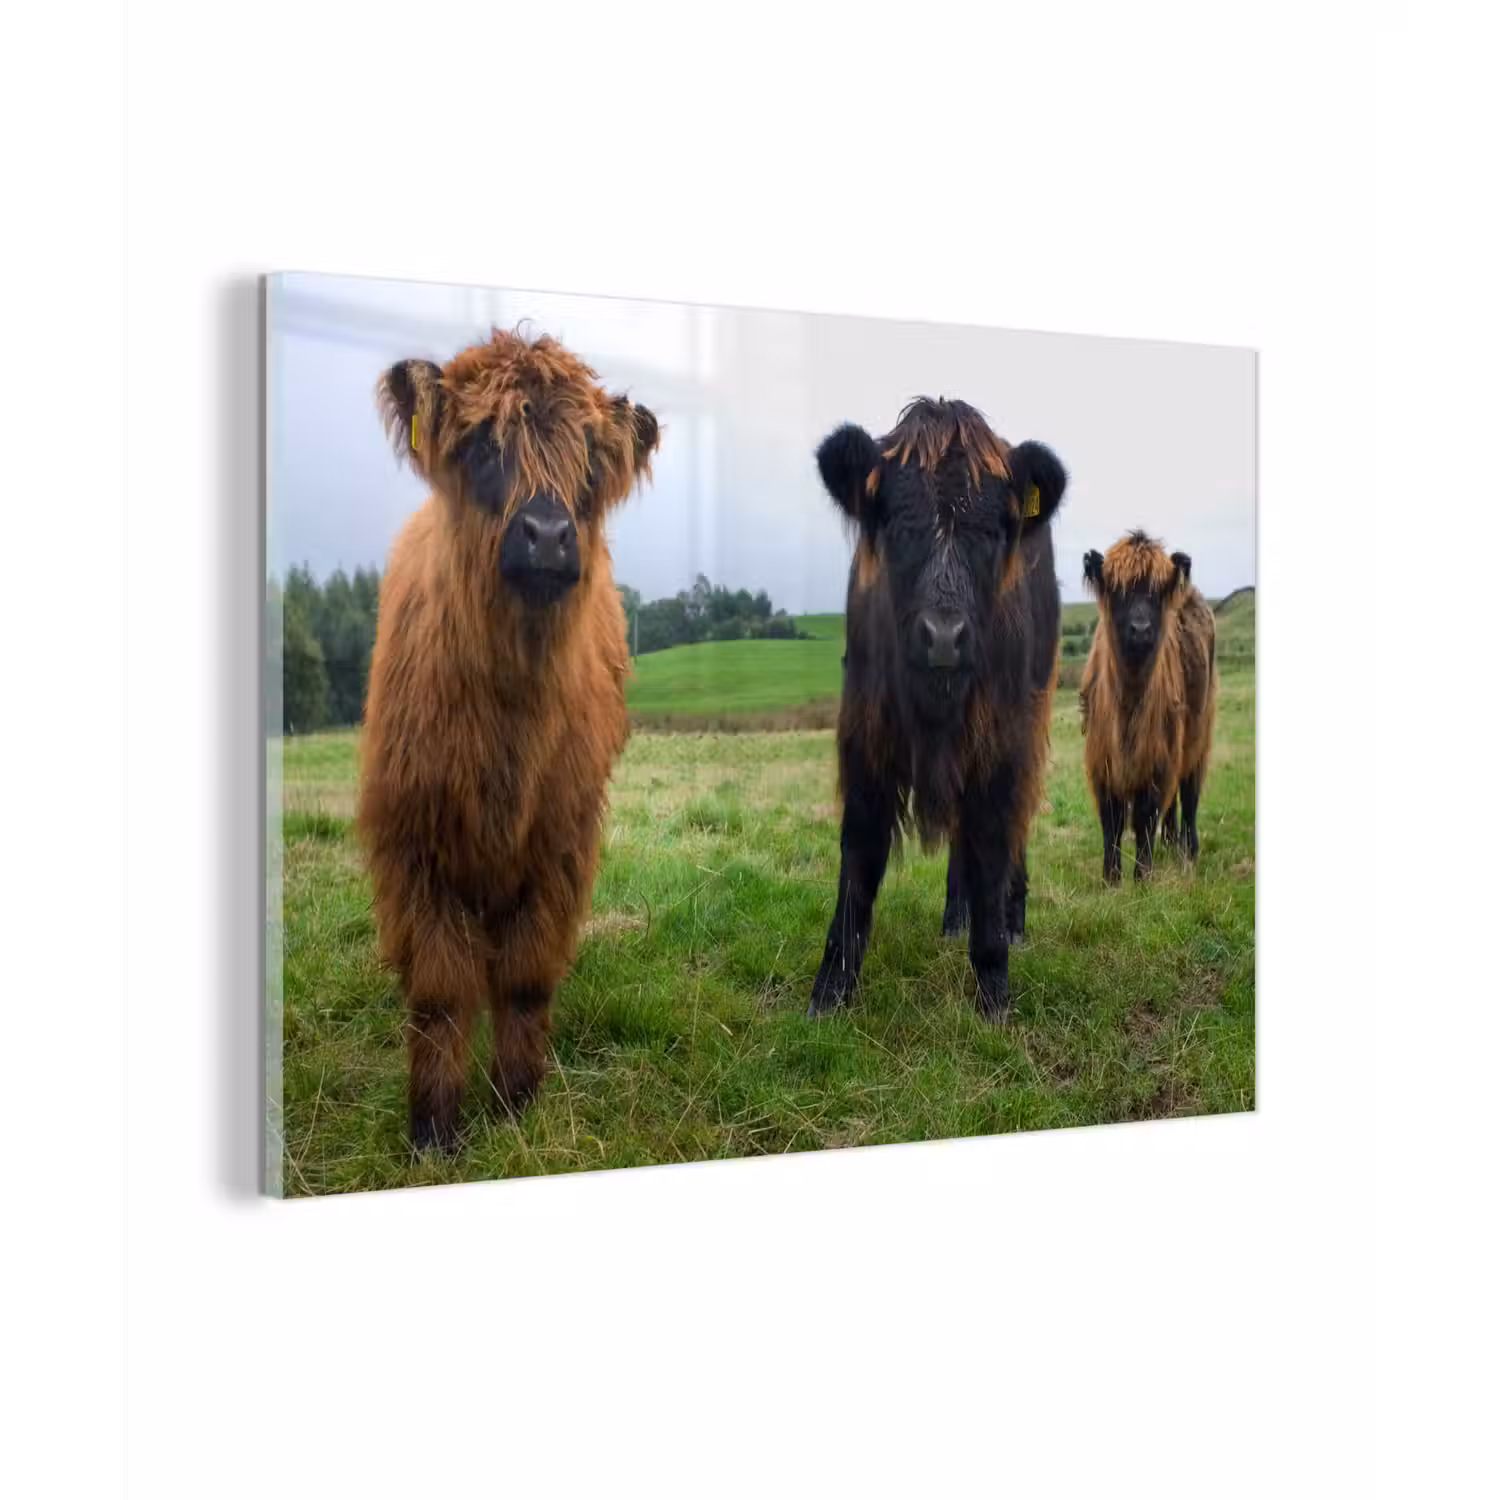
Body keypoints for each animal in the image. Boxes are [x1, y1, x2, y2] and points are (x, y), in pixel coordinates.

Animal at [358, 329, 660, 1151]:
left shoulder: (560, 844)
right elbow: (438, 992)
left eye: (589, 461)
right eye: (483, 445)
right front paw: (433, 1127)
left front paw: (517, 1102)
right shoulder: (413, 845)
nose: (549, 535)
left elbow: (525, 978)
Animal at [808, 398, 1067, 1022]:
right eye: (899, 523)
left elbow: (994, 842)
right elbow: (860, 855)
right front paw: (830, 991)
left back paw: (1011, 919)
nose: (944, 637)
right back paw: (955, 917)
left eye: (993, 529)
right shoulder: (865, 735)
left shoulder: (1001, 742)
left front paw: (994, 989)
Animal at [1079, 530, 1218, 883]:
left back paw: (1189, 850)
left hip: (1199, 736)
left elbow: (1145, 816)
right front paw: (1111, 878)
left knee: (1190, 794)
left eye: (1156, 594)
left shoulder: (1158, 760)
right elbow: (1112, 821)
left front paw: (1142, 876)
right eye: (1119, 591)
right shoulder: (1101, 761)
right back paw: (1170, 841)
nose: (1140, 629)